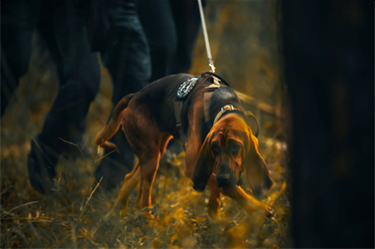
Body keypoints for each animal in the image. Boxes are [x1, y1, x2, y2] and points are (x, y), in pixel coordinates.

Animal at [96, 72, 274, 218]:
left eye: (236, 147)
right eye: (215, 147)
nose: (223, 177)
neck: (224, 106)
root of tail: (134, 96)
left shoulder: (210, 164)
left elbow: (217, 194)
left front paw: (214, 223)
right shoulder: (194, 167)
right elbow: (228, 188)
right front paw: (258, 209)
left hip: (153, 154)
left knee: (129, 178)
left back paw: (120, 214)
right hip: (151, 157)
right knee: (143, 200)